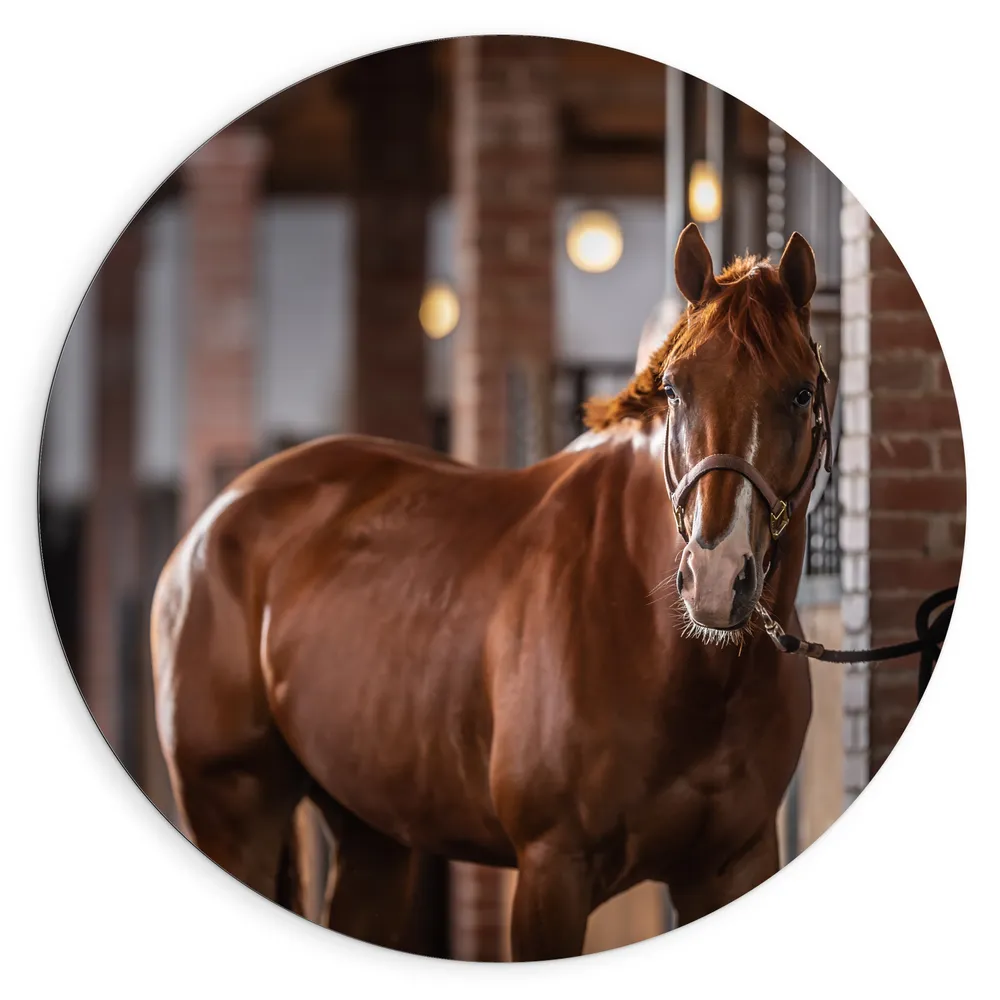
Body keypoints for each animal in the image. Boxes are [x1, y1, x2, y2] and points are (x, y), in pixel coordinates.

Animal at [151, 223, 830, 961]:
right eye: (675, 389)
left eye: (800, 393)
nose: (715, 578)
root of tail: (215, 521)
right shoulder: (551, 872)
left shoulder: (732, 865)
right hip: (235, 812)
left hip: (372, 832)